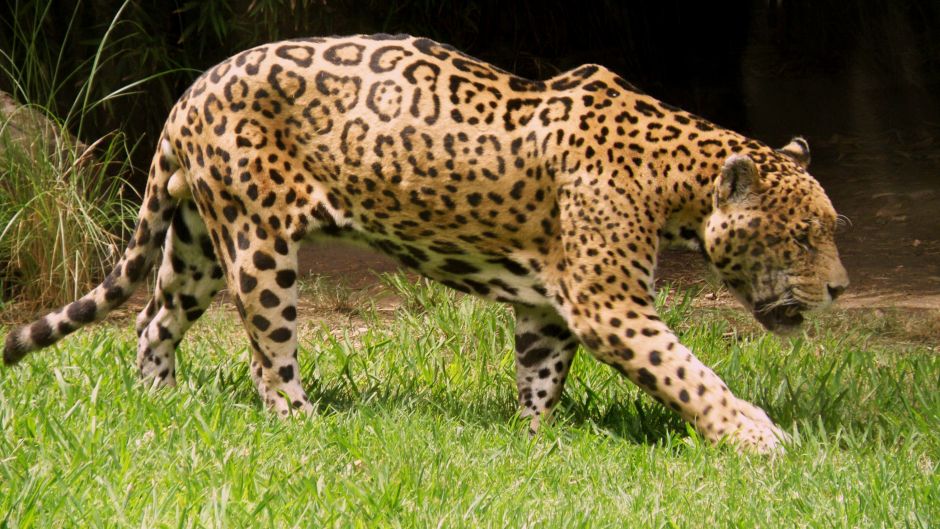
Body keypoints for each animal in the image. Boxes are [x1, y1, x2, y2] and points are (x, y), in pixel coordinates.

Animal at [3, 34, 849, 453]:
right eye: (803, 237)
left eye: (827, 232)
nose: (841, 290)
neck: (678, 176)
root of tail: (188, 92)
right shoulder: (610, 305)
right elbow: (688, 373)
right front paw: (755, 436)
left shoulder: (549, 306)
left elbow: (541, 375)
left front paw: (536, 444)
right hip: (258, 243)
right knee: (266, 354)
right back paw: (305, 427)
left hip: (197, 244)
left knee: (154, 320)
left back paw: (161, 404)